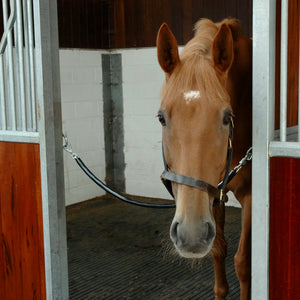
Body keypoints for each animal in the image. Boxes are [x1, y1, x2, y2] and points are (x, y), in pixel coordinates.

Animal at [156, 18, 252, 300]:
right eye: (161, 118)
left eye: (227, 117)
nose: (191, 235)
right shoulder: (215, 193)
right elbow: (219, 251)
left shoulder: (251, 195)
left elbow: (243, 262)